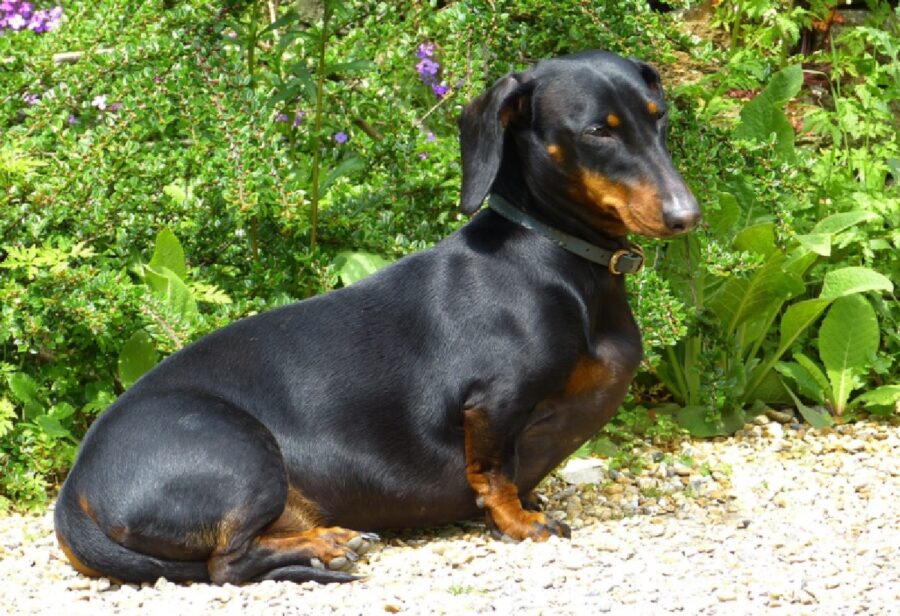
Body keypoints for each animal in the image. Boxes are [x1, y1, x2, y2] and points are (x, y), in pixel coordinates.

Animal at [54, 50, 704, 584]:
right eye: (597, 131)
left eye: (659, 117)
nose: (686, 215)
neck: (548, 254)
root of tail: (73, 494)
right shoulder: (494, 403)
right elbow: (494, 474)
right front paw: (521, 522)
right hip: (245, 457)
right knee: (227, 564)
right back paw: (329, 546)